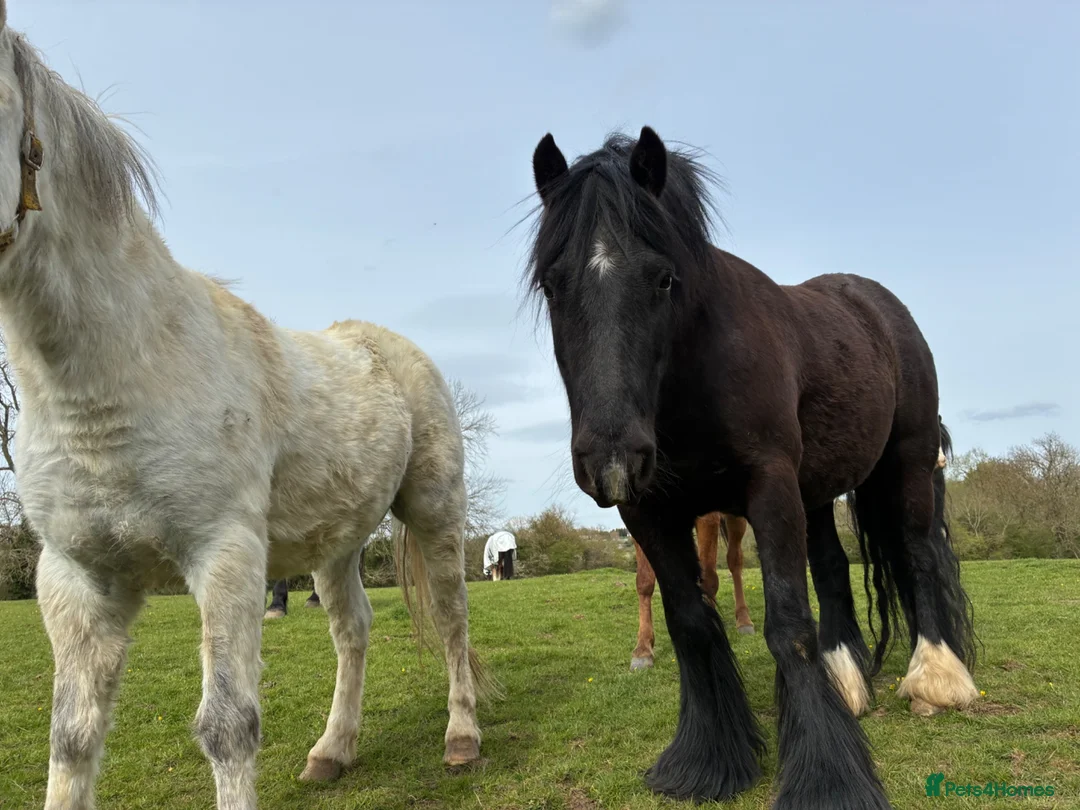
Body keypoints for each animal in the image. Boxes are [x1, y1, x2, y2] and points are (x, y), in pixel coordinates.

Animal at [0, 12, 489, 809]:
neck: (118, 384)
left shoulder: (223, 555)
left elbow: (228, 726)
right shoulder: (76, 579)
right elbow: (71, 737)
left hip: (435, 512)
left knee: (451, 619)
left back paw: (461, 738)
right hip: (336, 546)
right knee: (353, 630)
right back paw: (332, 751)